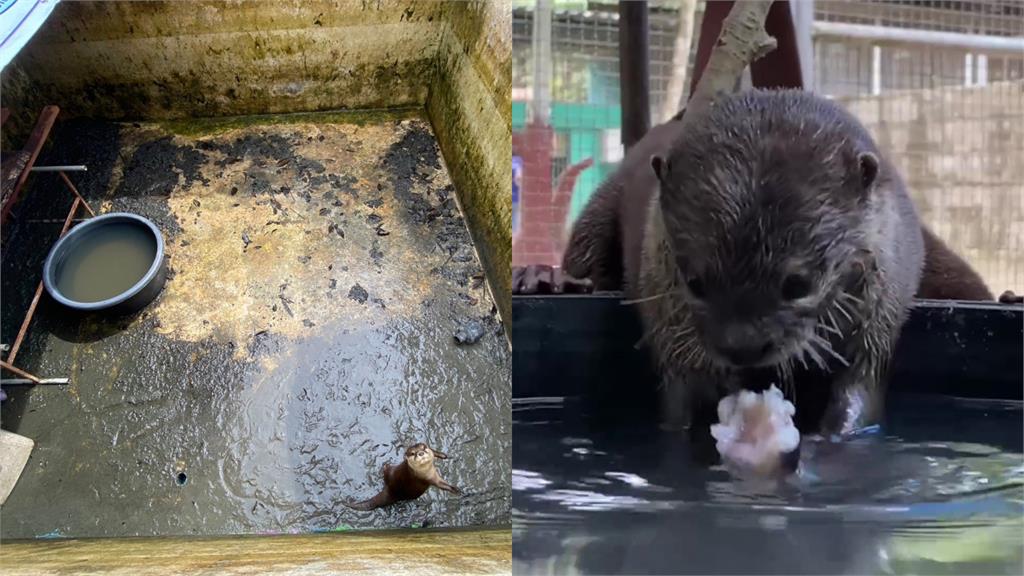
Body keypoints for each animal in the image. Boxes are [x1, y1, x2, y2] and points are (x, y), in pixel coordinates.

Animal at [569, 90, 929, 448]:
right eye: (695, 283)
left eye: (798, 285)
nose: (742, 346)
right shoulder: (666, 318)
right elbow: (679, 403)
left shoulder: (881, 322)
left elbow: (860, 392)